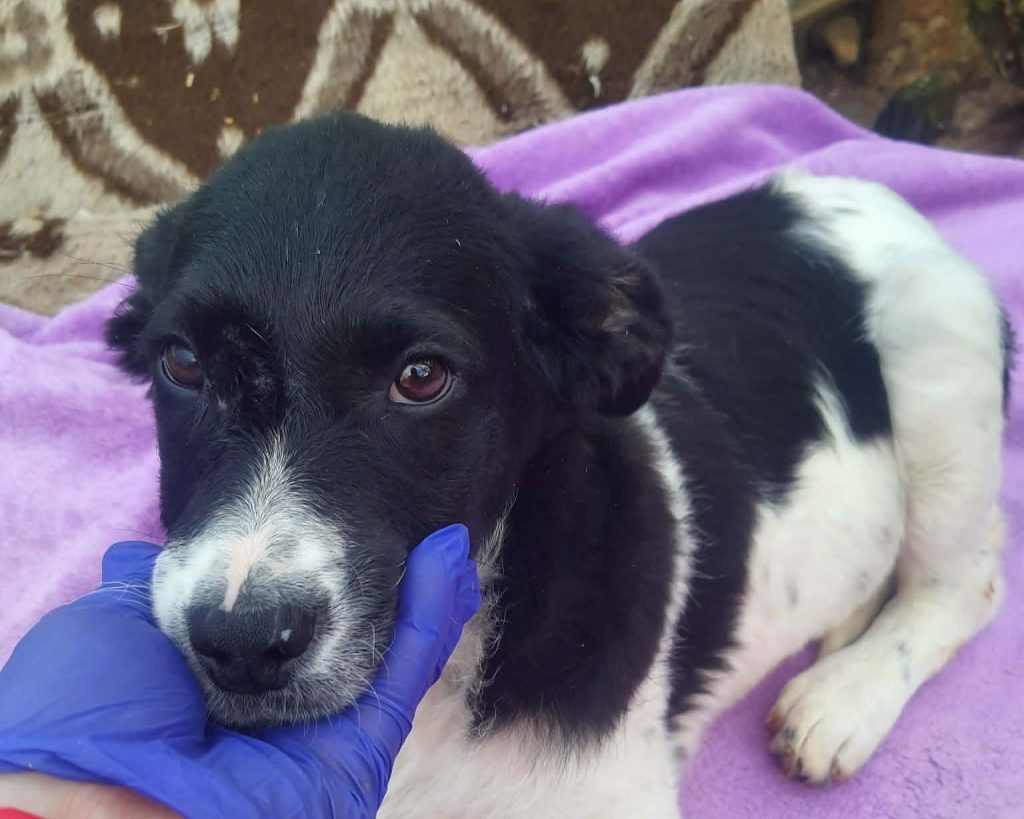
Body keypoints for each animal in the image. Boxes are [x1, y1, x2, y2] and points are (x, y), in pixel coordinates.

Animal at [107, 111, 1012, 818]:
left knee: (966, 582)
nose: (238, 642)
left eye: (421, 376)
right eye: (182, 363)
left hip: (936, 348)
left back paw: (843, 697)